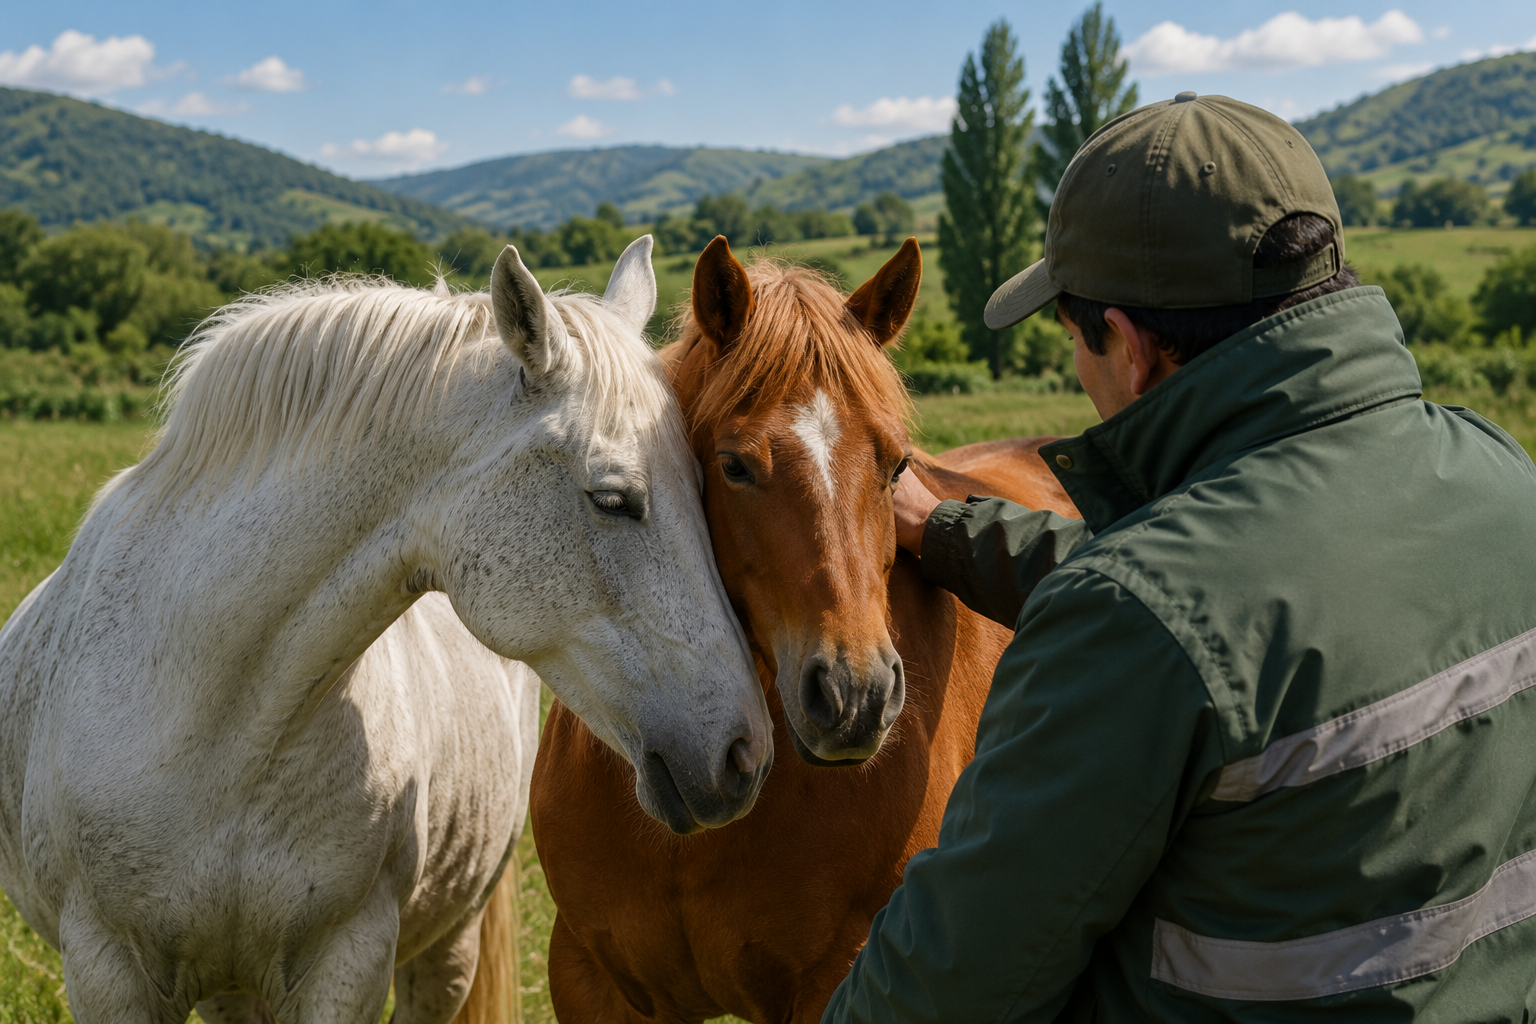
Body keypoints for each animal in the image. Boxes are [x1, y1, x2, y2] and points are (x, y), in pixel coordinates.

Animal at [0, 236, 771, 1024]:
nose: (745, 754)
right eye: (613, 499)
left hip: (447, 948)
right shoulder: (106, 970)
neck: (212, 726)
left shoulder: (350, 958)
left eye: (710, 484)